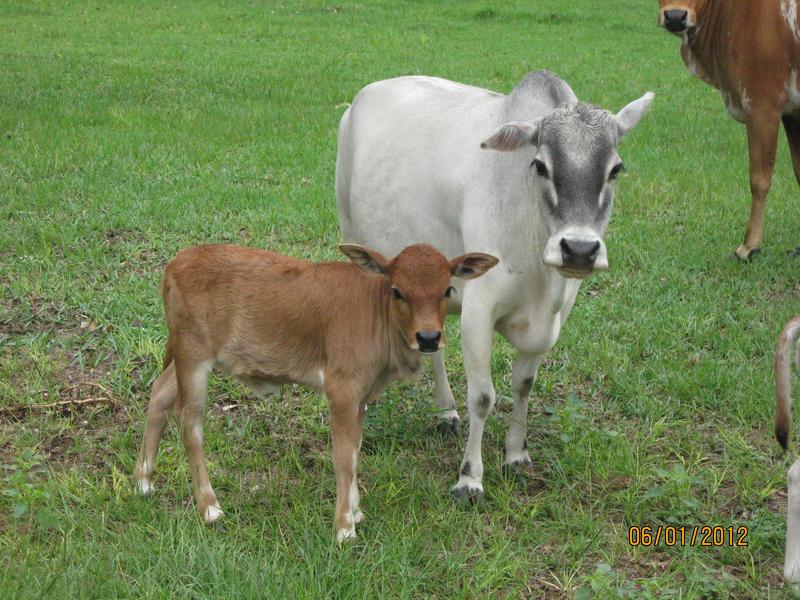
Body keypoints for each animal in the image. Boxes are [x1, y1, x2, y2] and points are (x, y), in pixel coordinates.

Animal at [133, 243, 497, 541]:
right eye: (397, 291)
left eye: (447, 289)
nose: (429, 338)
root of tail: (178, 260)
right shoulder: (341, 390)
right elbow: (344, 457)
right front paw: (344, 527)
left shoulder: (360, 396)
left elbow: (356, 449)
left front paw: (356, 511)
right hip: (193, 356)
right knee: (190, 422)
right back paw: (210, 506)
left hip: (185, 358)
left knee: (159, 394)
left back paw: (144, 481)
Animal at [336, 71, 653, 500]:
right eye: (540, 166)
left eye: (615, 169)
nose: (579, 249)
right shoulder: (479, 310)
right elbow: (484, 397)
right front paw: (470, 477)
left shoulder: (553, 319)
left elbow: (523, 385)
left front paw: (516, 454)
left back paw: (445, 411)